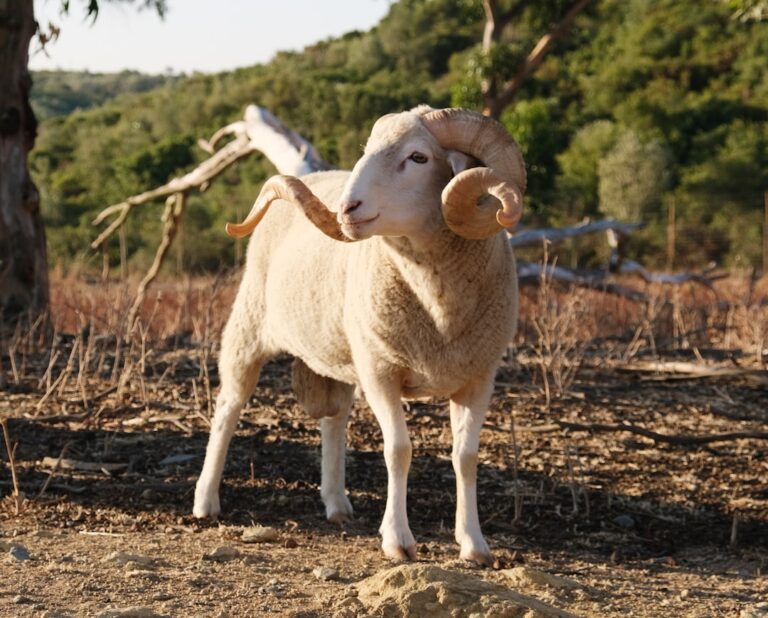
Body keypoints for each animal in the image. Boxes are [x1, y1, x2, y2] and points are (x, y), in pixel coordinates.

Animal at [193, 105, 526, 564]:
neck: (438, 309)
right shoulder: (381, 372)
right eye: (368, 150)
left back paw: (336, 503)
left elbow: (466, 456)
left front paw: (474, 545)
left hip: (340, 352)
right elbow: (398, 450)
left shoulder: (478, 378)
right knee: (228, 408)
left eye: (418, 157)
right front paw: (397, 541)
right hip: (249, 327)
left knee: (334, 419)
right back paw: (206, 501)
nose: (347, 208)